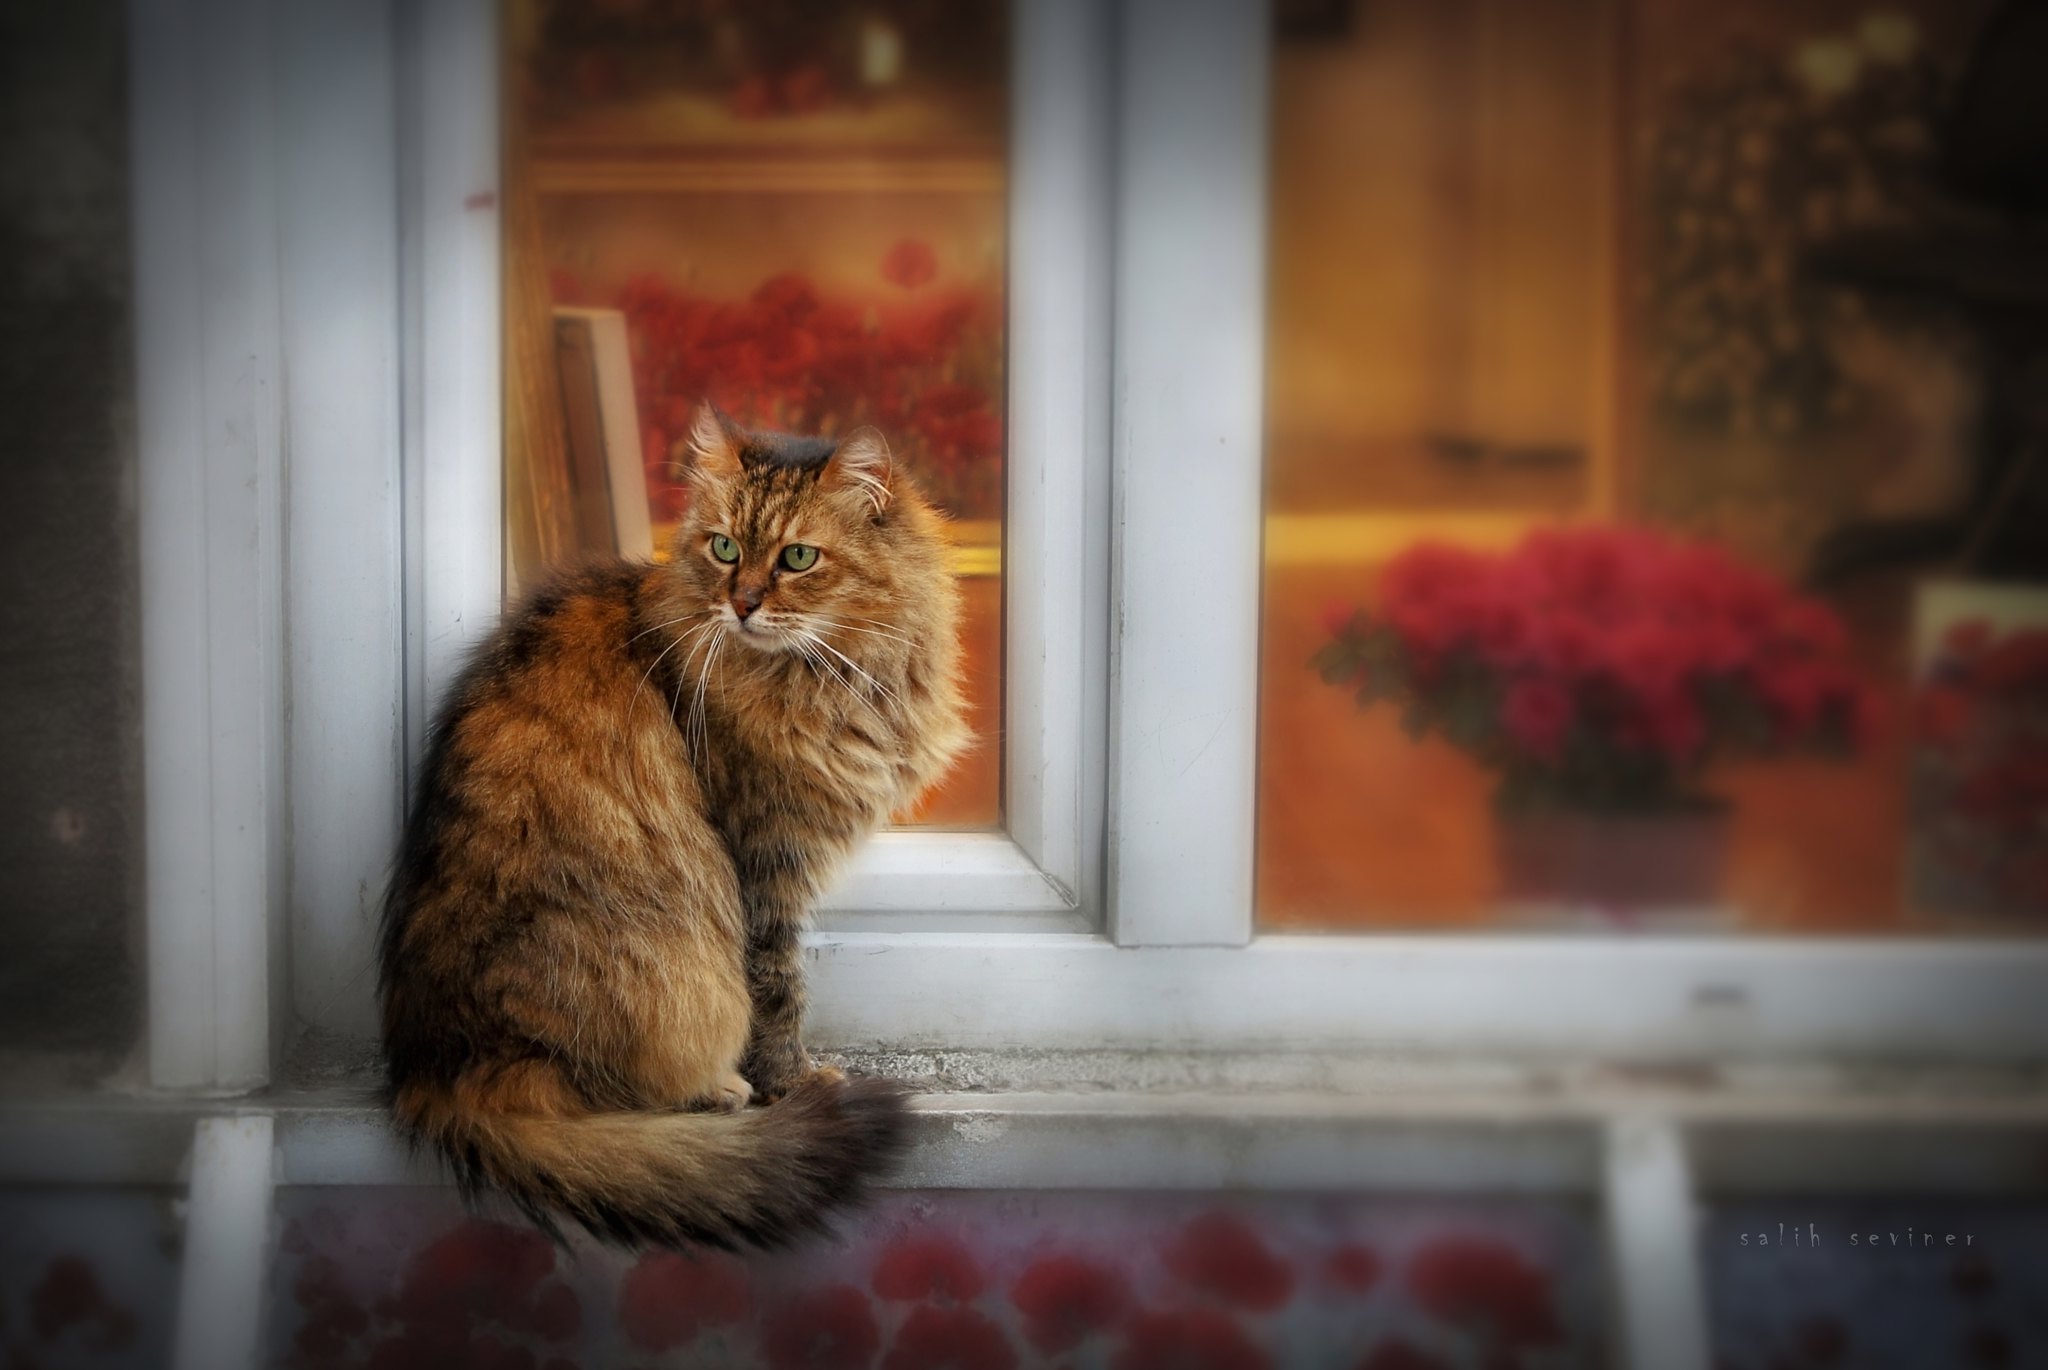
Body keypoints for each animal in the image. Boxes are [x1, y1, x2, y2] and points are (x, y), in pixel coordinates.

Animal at [380, 401, 970, 1245]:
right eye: (724, 547)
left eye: (797, 558)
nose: (743, 603)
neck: (835, 678)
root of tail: (440, 1075)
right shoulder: (764, 862)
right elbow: (779, 990)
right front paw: (794, 1083)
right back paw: (721, 1093)